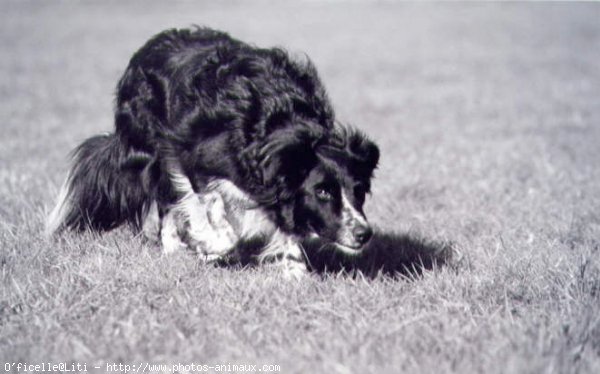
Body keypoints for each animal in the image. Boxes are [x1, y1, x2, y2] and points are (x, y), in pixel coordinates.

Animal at [47, 27, 378, 278]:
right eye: (322, 192)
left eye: (359, 191)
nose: (364, 234)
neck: (283, 127)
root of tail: (148, 47)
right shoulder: (192, 156)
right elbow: (215, 214)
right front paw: (208, 247)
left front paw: (294, 271)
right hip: (152, 148)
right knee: (166, 199)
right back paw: (173, 247)